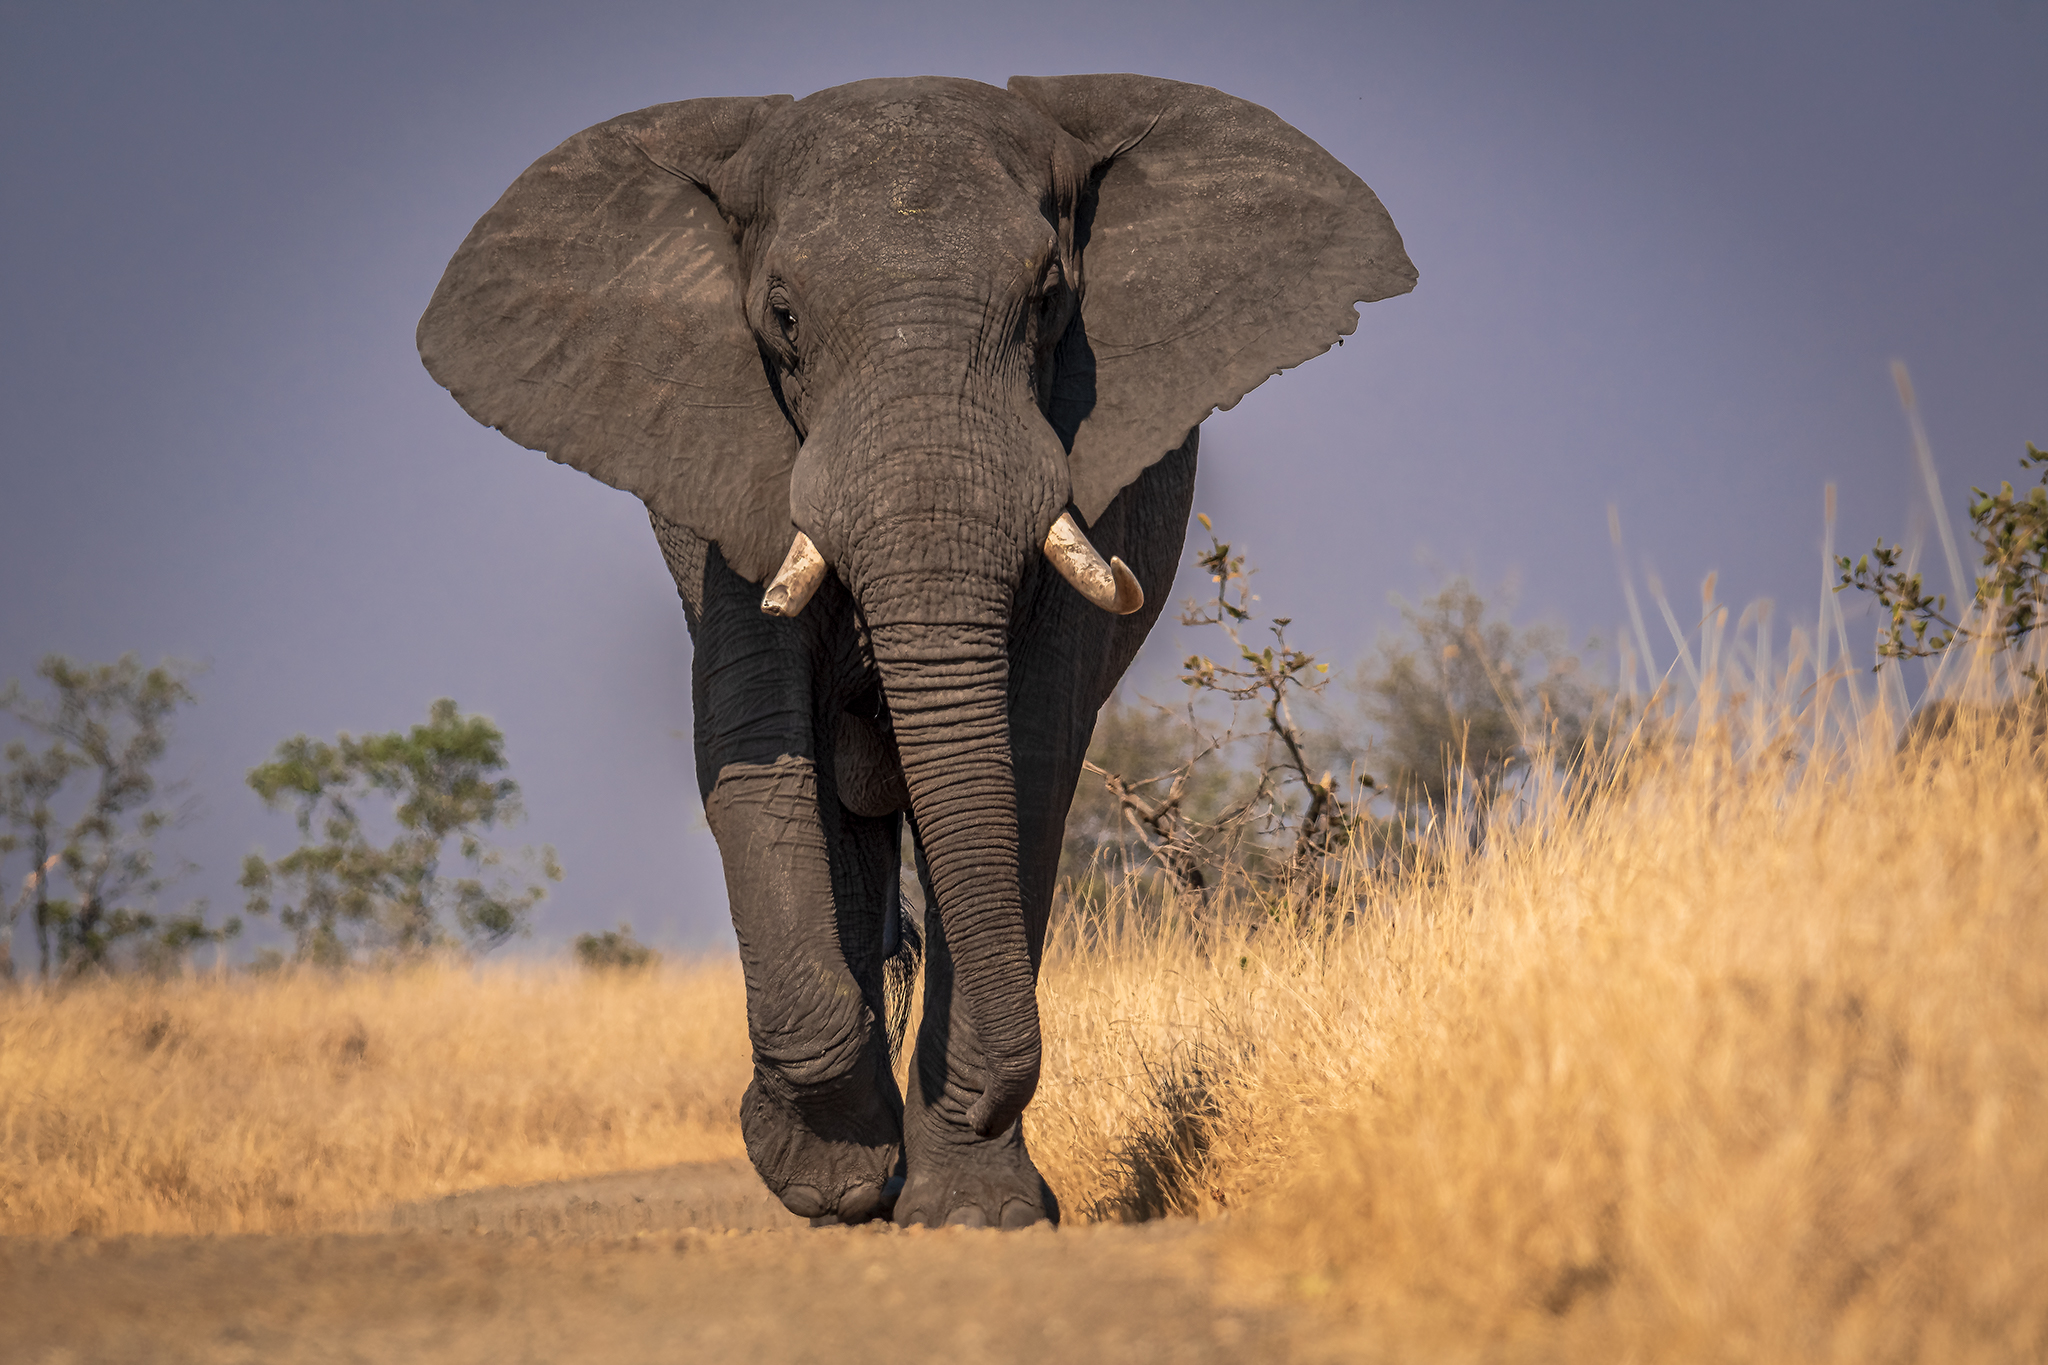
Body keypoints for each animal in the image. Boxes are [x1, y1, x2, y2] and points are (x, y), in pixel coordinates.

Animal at [418, 74, 1413, 1229]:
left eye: (1047, 297)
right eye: (782, 319)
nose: (987, 1099)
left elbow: (1024, 758)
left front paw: (977, 1211)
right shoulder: (722, 483)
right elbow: (755, 746)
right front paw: (825, 1168)